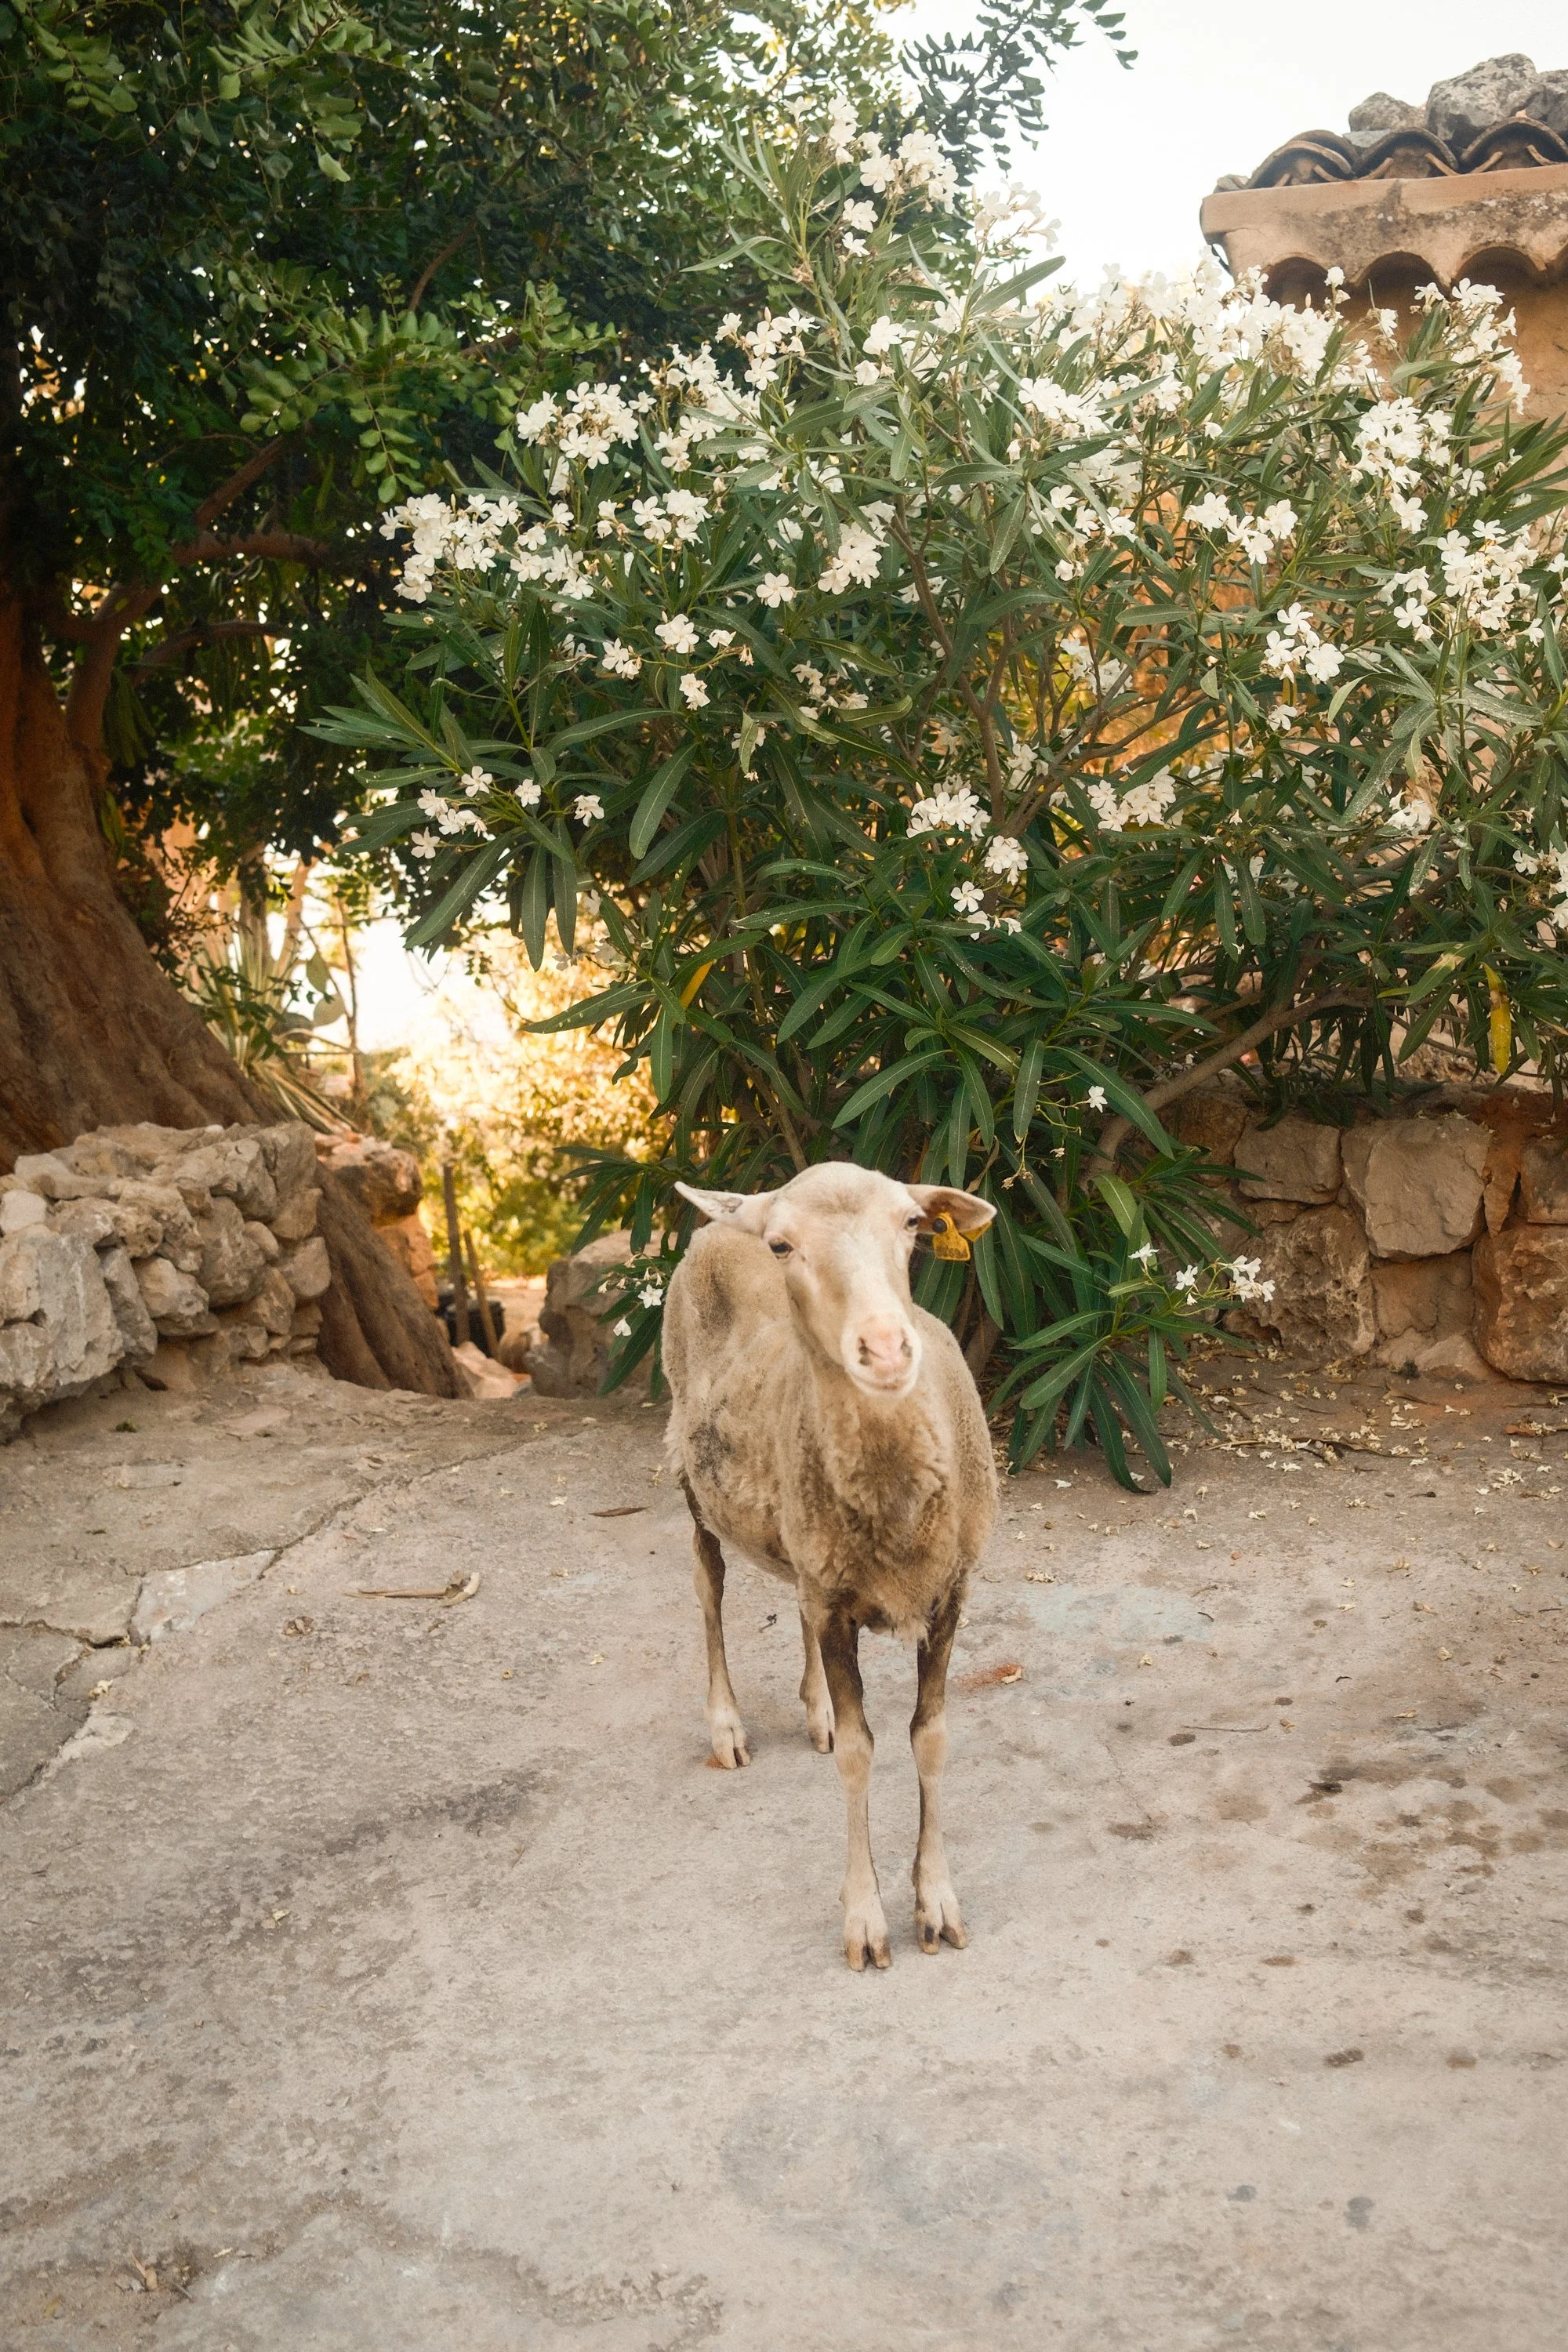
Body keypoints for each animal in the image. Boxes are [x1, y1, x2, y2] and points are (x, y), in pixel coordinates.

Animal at [661, 1162, 998, 1970]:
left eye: (912, 1224)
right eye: (784, 1246)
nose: (885, 1348)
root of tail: (727, 1219)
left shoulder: (949, 1593)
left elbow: (929, 1739)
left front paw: (936, 1901)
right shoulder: (840, 1604)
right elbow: (858, 1754)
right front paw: (867, 1919)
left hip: (803, 1535)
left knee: (791, 1594)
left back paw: (812, 1706)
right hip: (692, 1471)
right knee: (708, 1584)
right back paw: (727, 1726)